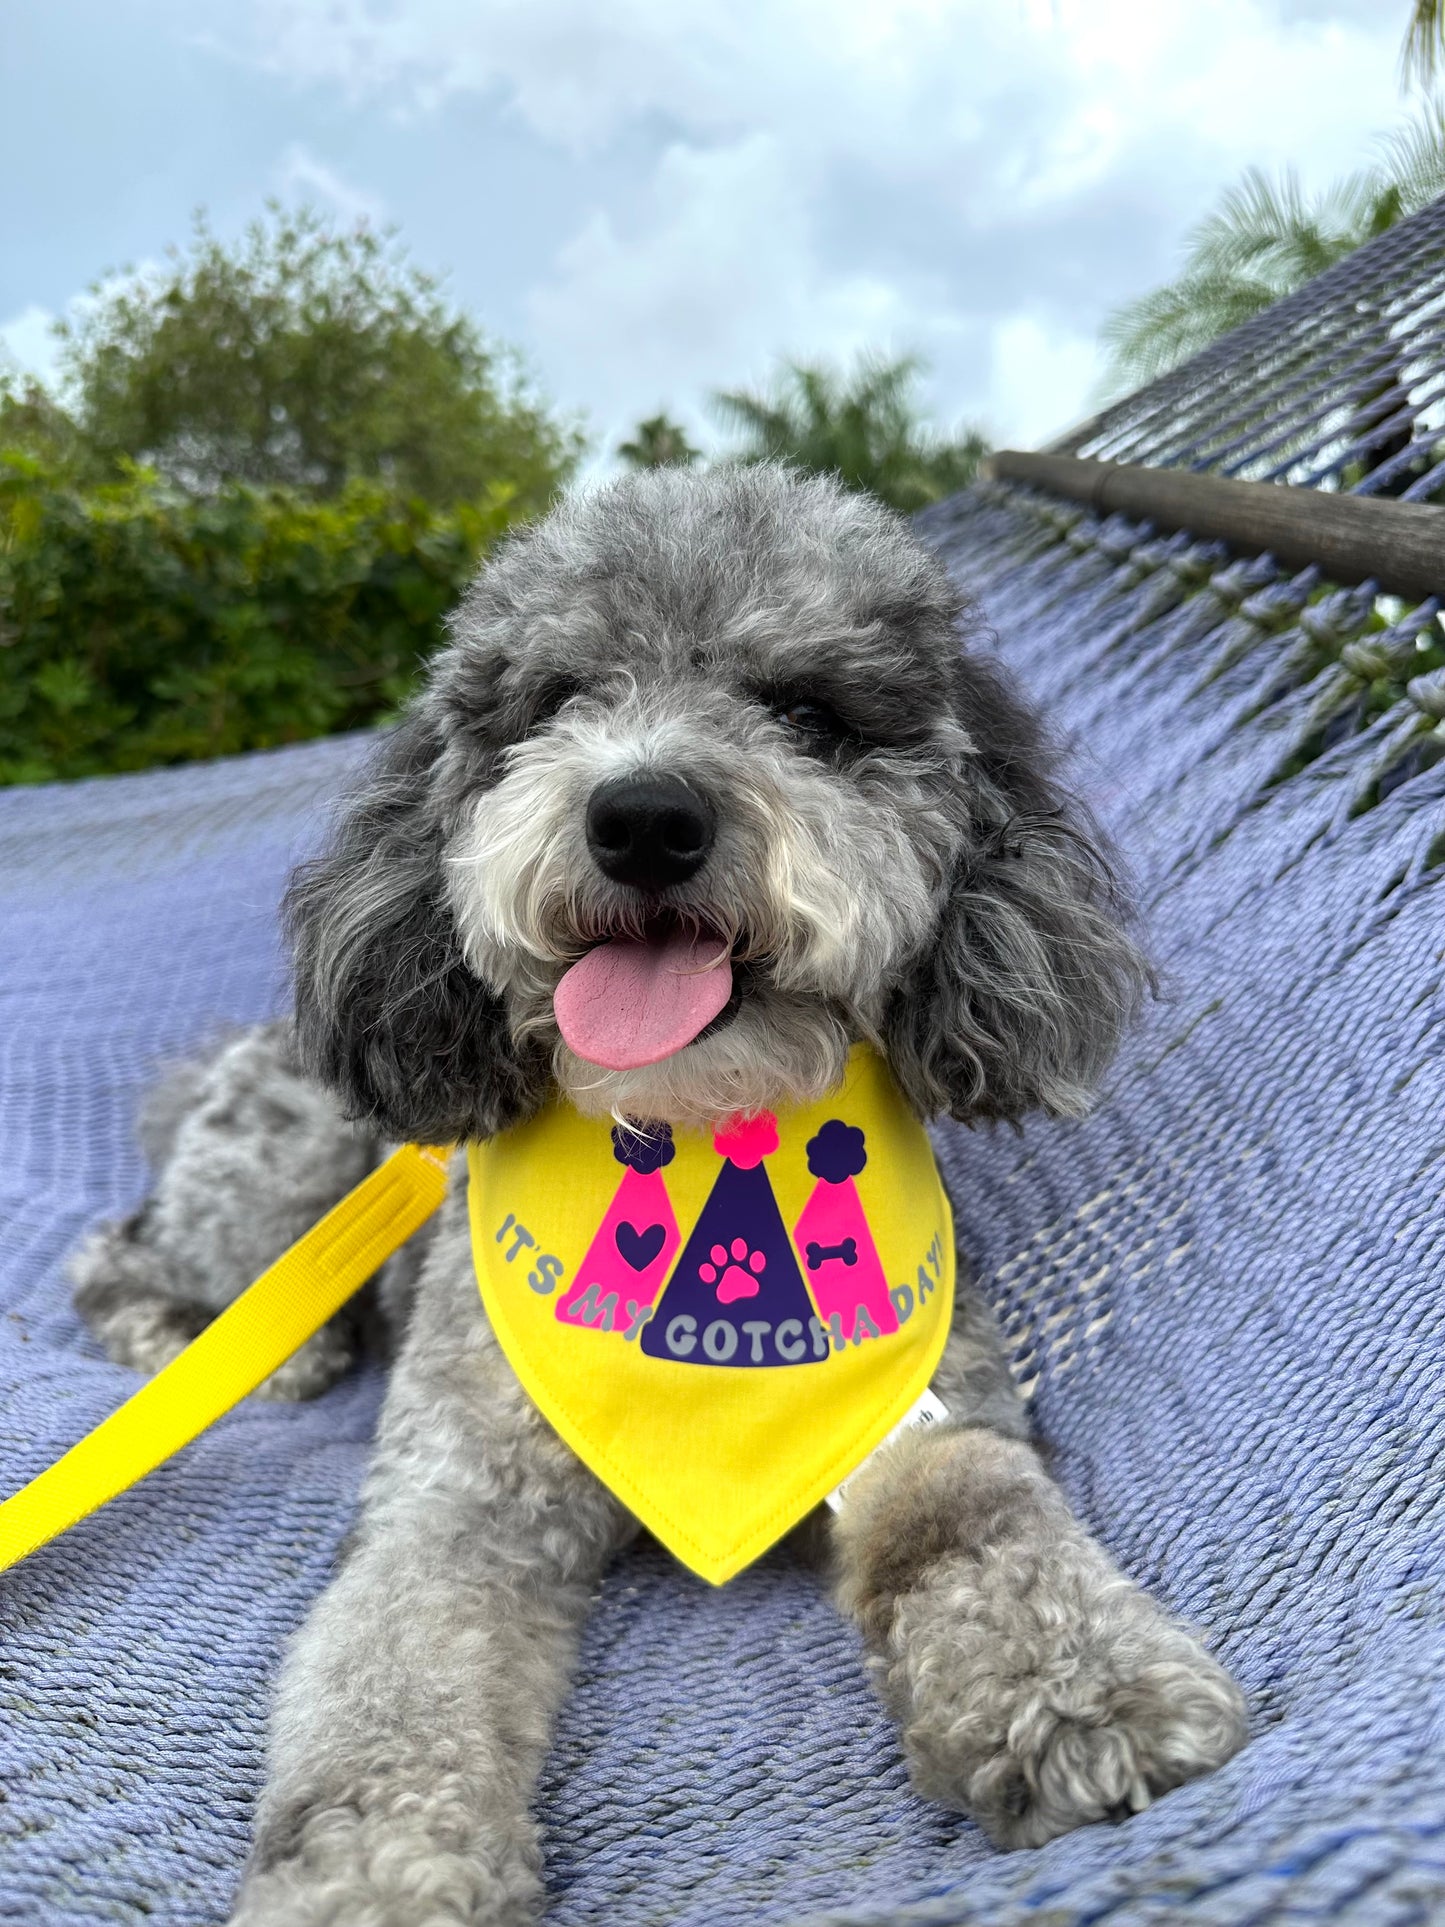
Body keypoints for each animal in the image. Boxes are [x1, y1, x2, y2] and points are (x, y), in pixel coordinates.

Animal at [67, 470, 1248, 1927]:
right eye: (558, 696)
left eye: (808, 712)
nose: (642, 815)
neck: (690, 1134)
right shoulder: (452, 1507)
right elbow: (385, 1687)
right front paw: (372, 1874)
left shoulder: (920, 1412)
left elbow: (980, 1523)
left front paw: (1082, 1689)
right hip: (284, 1171)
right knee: (123, 1253)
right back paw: (223, 1340)